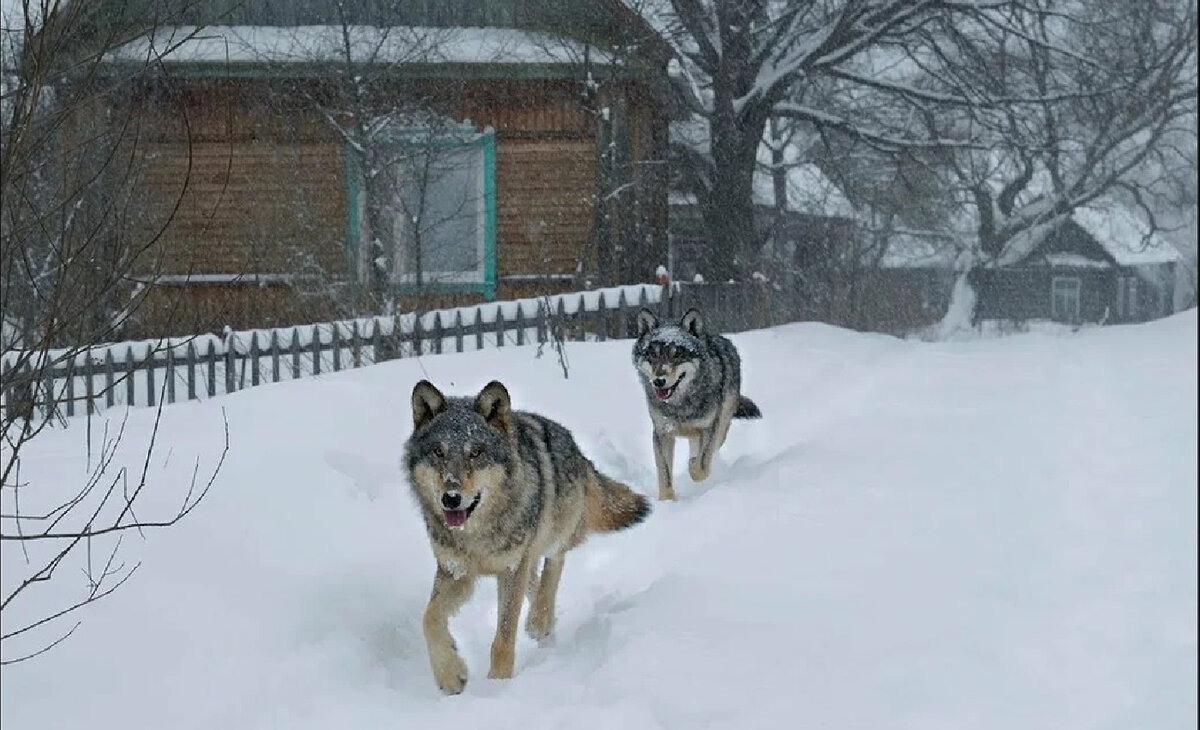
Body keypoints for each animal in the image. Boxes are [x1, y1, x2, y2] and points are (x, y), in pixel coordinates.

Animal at [405, 379, 652, 691]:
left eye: (476, 452)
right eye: (439, 452)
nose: (450, 498)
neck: (477, 535)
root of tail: (576, 448)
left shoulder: (511, 569)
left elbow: (504, 636)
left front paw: (498, 684)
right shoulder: (456, 571)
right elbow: (429, 618)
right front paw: (450, 674)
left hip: (553, 535)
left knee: (554, 566)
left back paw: (540, 620)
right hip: (527, 557)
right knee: (535, 581)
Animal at [628, 307, 758, 501]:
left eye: (677, 354)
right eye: (652, 354)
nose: (659, 381)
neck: (680, 405)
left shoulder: (709, 429)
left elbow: (700, 467)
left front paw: (693, 466)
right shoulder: (662, 433)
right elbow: (664, 474)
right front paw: (667, 501)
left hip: (721, 425)